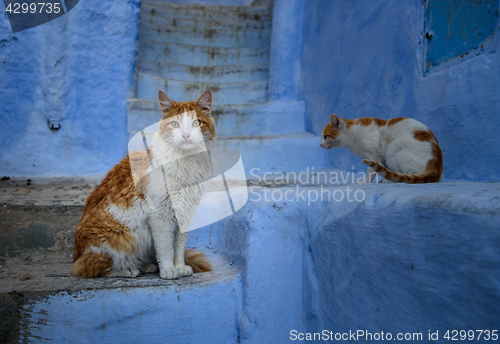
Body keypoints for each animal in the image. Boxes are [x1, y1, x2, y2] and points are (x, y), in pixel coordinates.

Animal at [71, 90, 216, 278]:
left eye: (196, 123)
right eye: (175, 124)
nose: (185, 136)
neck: (186, 161)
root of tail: (75, 255)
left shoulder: (185, 213)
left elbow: (179, 246)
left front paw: (180, 267)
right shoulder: (160, 215)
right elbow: (166, 248)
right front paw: (169, 270)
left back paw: (146, 266)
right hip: (120, 236)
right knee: (93, 268)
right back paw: (128, 270)